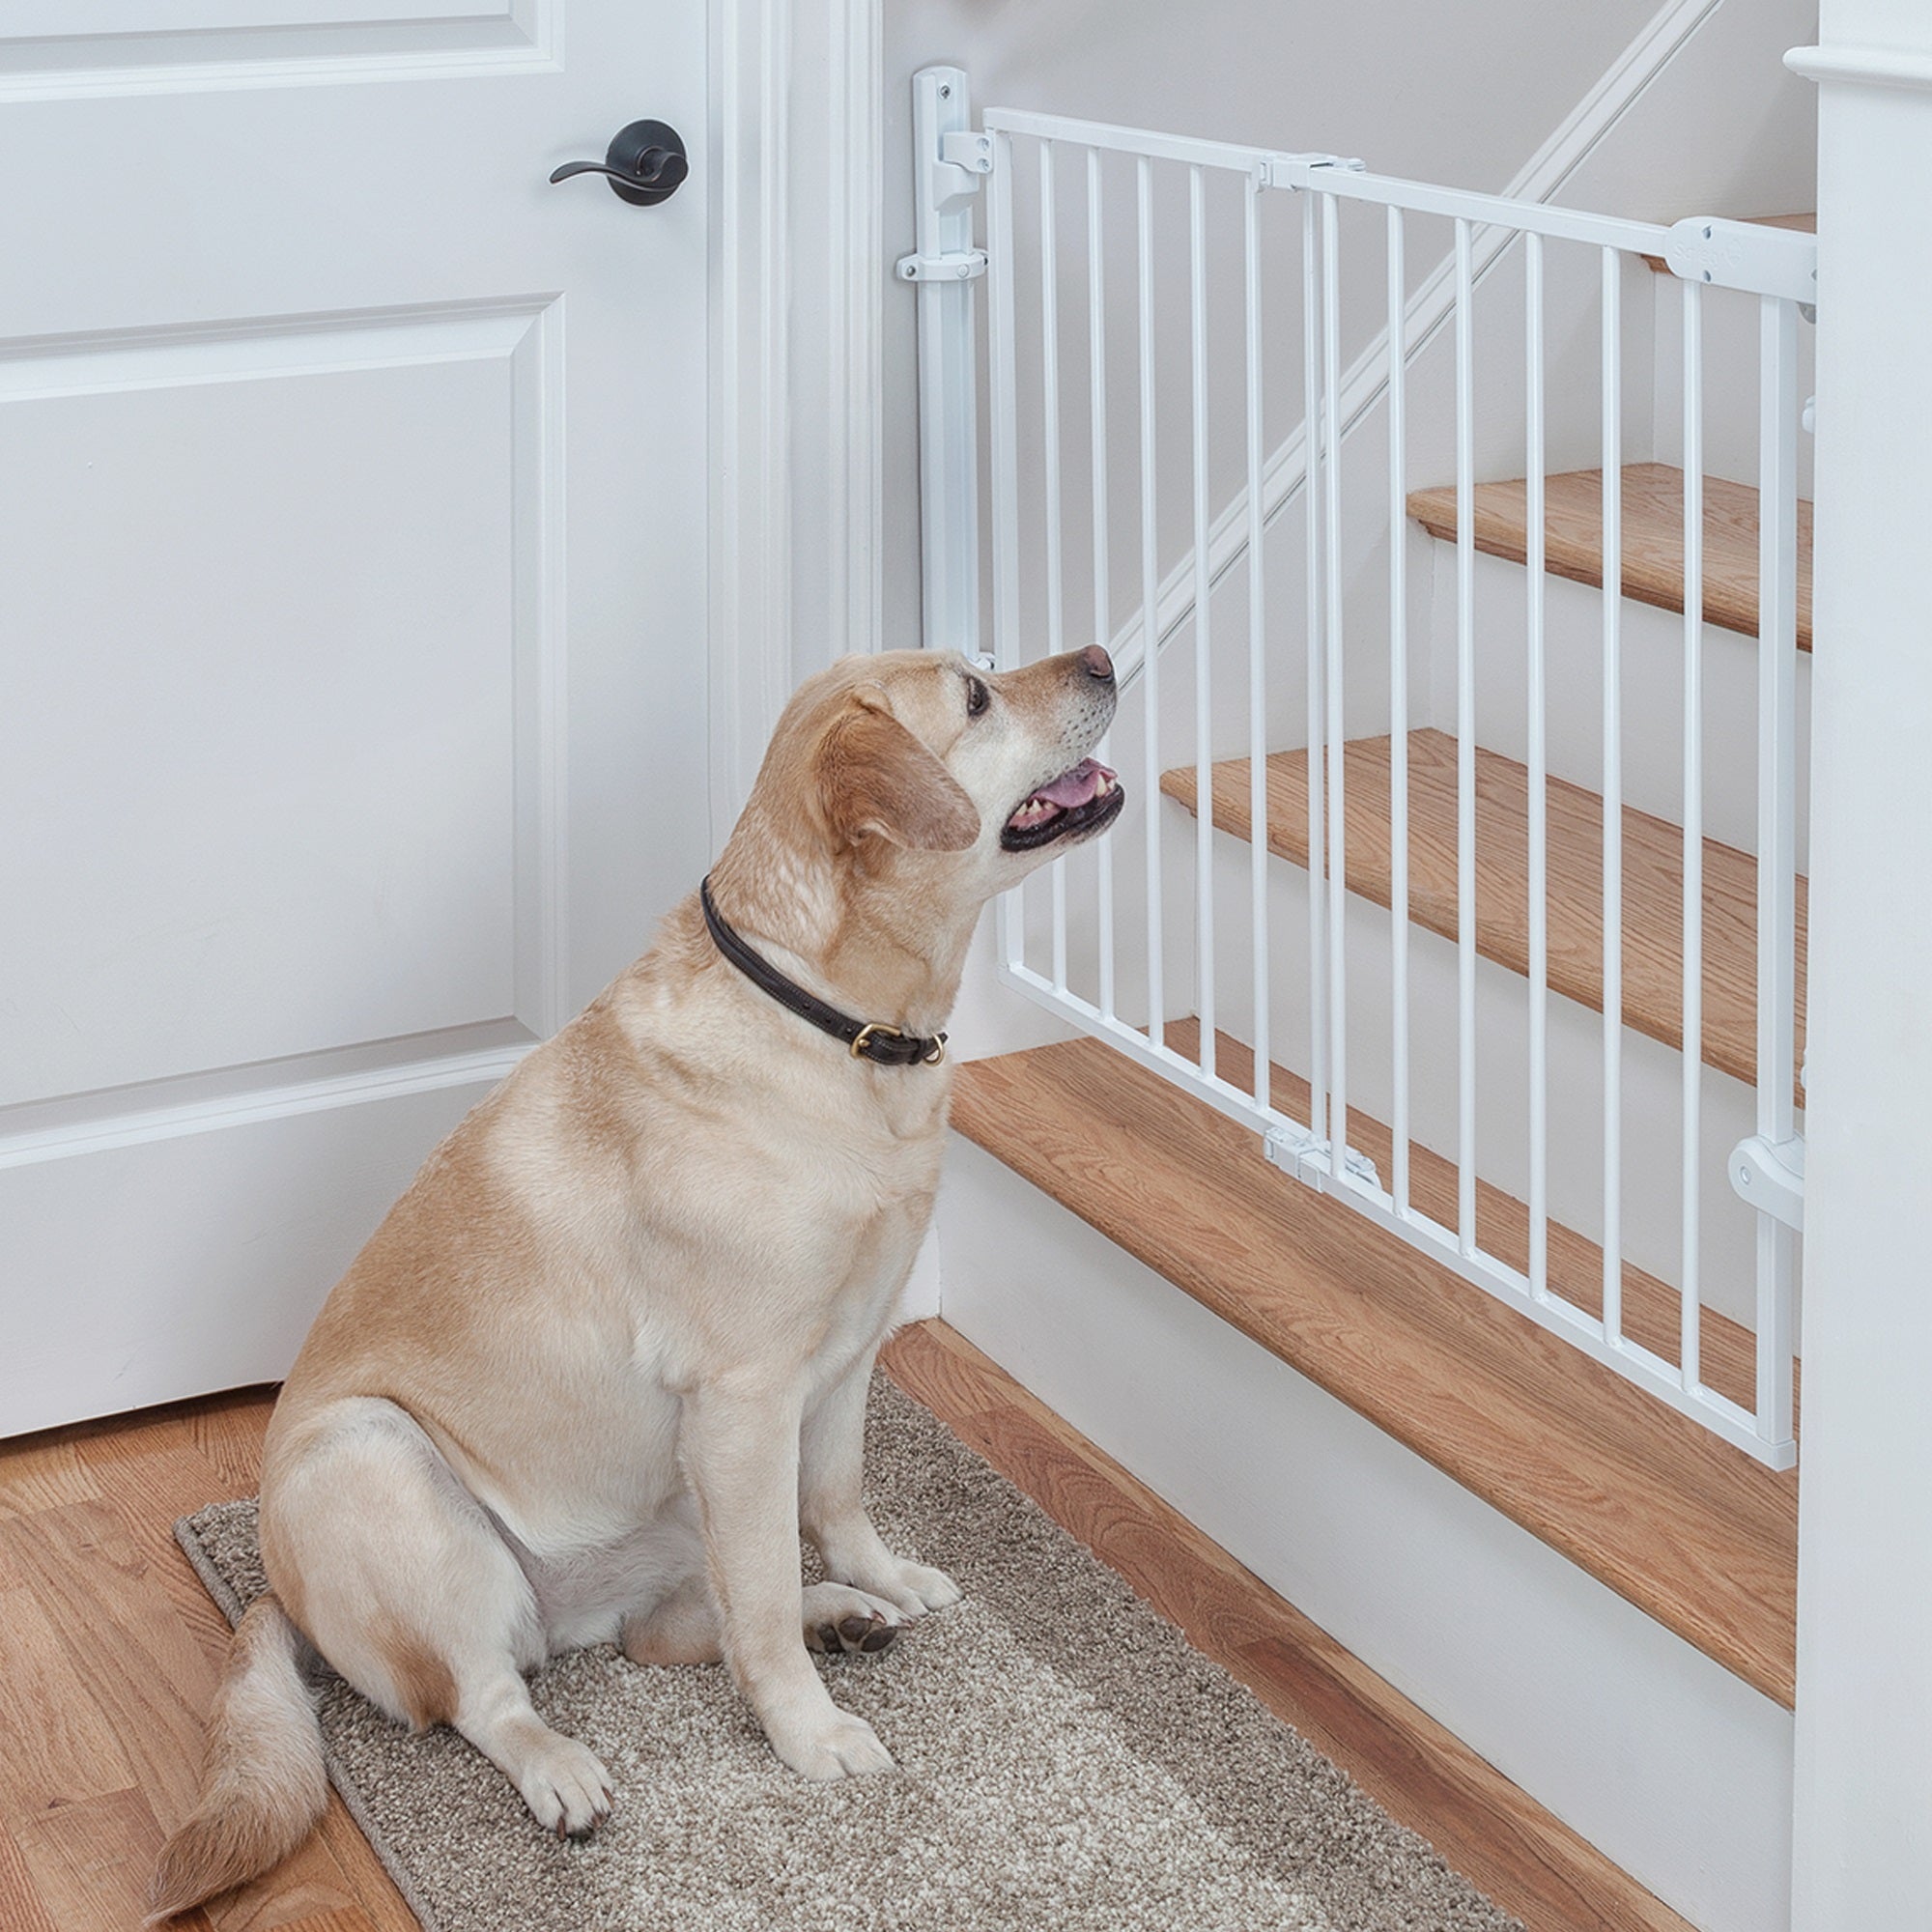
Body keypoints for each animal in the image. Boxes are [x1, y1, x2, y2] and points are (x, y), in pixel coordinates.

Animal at [151, 645, 1128, 1917]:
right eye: (974, 694)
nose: (1101, 655)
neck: (839, 1029)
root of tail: (276, 1593)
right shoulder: (747, 1395)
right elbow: (759, 1604)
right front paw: (811, 1734)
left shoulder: (847, 1356)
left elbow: (835, 1502)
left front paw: (874, 1578)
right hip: (375, 1458)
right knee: (490, 1693)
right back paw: (564, 1765)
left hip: (663, 1504)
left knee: (665, 1631)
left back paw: (844, 1613)